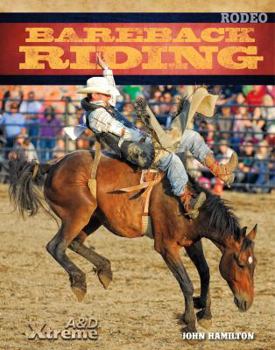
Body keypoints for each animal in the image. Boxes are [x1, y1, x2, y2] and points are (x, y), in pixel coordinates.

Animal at [9, 150, 258, 334]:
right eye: (241, 263)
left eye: (253, 265)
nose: (246, 303)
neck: (187, 205)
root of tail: (52, 165)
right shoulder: (166, 247)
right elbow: (186, 282)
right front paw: (189, 322)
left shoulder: (191, 242)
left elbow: (205, 273)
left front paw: (204, 312)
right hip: (79, 213)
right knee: (56, 246)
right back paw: (79, 282)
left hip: (94, 217)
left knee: (75, 243)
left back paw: (105, 270)